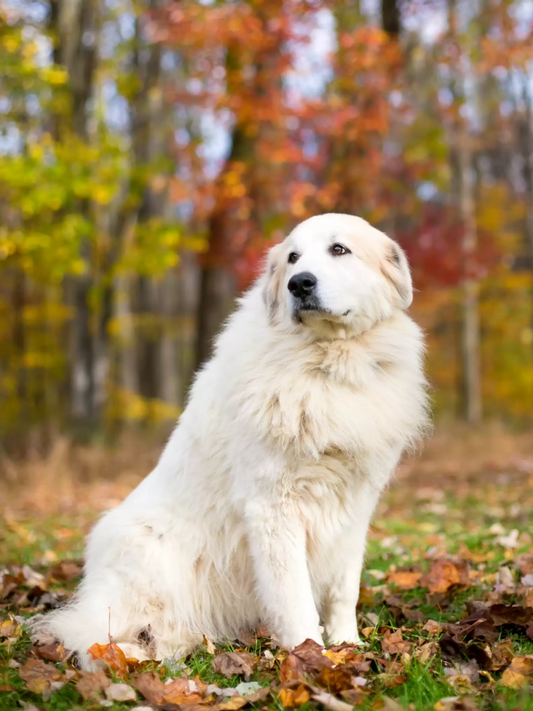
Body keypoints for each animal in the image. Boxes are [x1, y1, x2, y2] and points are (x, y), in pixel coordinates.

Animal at [41, 214, 428, 672]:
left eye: (339, 250)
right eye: (293, 257)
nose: (299, 283)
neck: (327, 364)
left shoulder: (354, 505)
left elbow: (343, 587)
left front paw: (347, 644)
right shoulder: (274, 507)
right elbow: (293, 594)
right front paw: (310, 652)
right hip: (150, 555)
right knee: (96, 633)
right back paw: (133, 654)